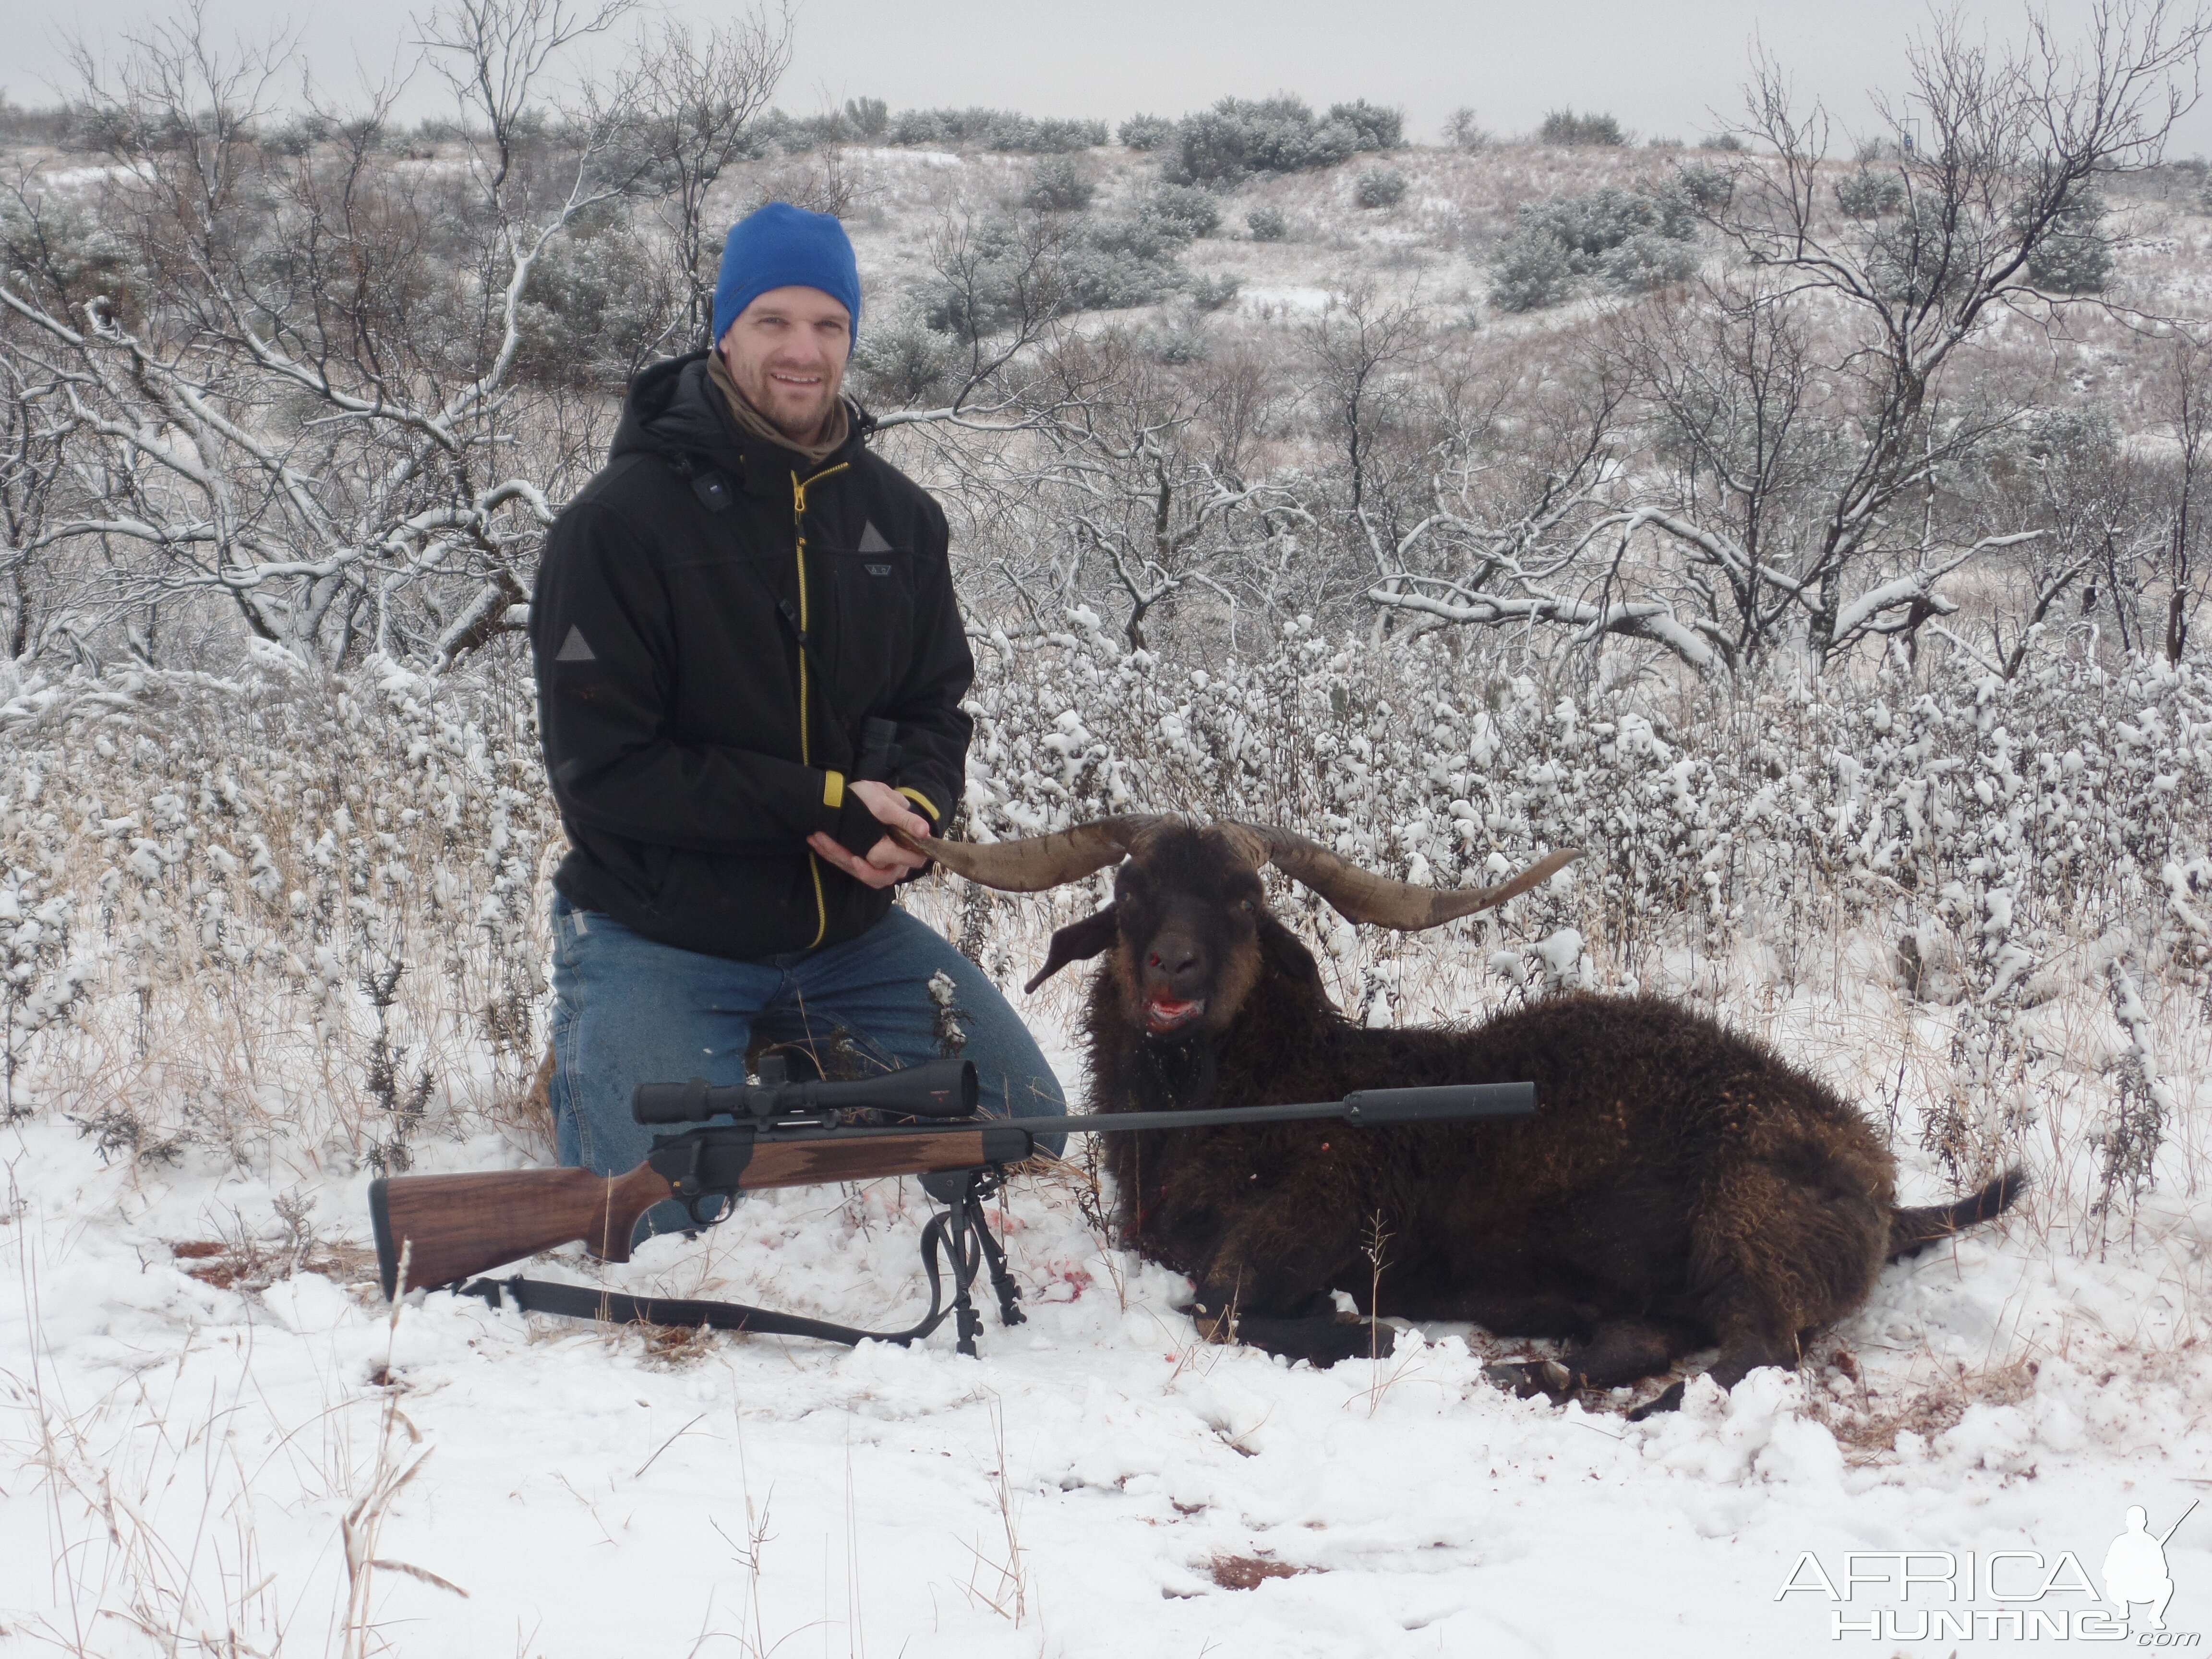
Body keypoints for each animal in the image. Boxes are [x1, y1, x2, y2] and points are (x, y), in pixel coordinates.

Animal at [907, 818, 2026, 1416]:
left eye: (1240, 898)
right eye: (1133, 885)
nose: (1171, 971)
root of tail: (1881, 1184)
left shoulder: (1306, 1228)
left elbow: (1219, 1305)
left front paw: (1366, 1330)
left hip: (1744, 1233)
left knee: (1755, 1354)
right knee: (1651, 1338)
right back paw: (1540, 1366)